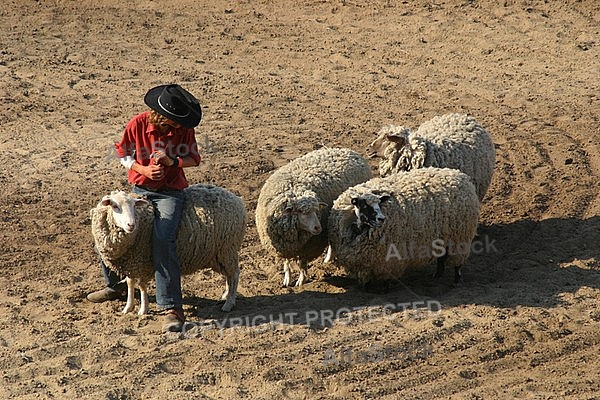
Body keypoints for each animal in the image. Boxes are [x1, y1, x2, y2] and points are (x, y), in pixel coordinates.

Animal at [91, 184, 246, 316]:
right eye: (115, 206)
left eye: (134, 206)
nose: (131, 225)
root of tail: (237, 200)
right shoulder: (131, 262)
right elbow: (130, 283)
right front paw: (128, 307)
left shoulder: (143, 261)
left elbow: (141, 285)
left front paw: (143, 309)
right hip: (217, 254)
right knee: (229, 275)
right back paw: (226, 295)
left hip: (228, 249)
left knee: (234, 274)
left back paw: (228, 303)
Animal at [255, 145, 372, 286]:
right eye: (301, 212)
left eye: (316, 211)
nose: (318, 228)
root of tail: (348, 151)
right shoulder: (283, 246)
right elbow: (287, 263)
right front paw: (287, 279)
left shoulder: (308, 247)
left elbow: (301, 264)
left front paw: (301, 280)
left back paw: (328, 258)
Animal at [326, 167, 480, 286]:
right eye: (364, 205)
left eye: (379, 204)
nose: (382, 219)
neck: (359, 230)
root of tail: (461, 176)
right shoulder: (365, 263)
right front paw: (367, 288)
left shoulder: (389, 259)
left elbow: (386, 280)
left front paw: (384, 290)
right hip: (445, 237)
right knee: (442, 257)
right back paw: (437, 275)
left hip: (460, 237)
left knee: (457, 262)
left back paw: (456, 280)